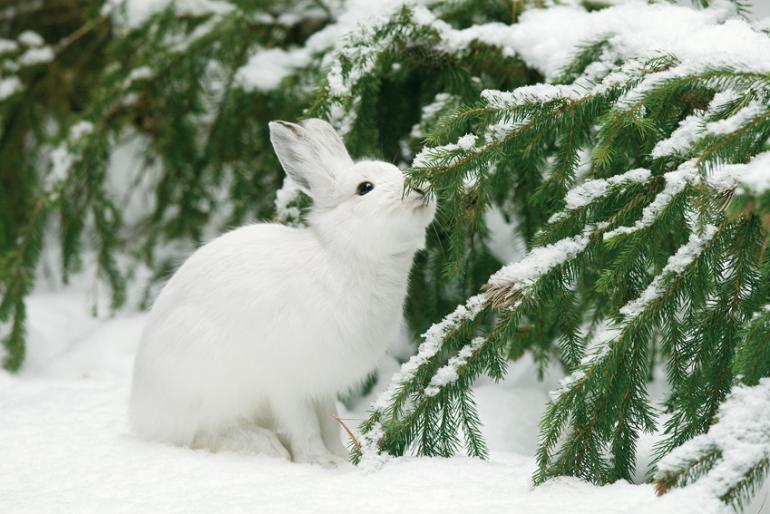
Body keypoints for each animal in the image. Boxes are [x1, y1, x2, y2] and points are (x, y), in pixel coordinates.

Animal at [129, 119, 436, 464]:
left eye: (397, 170)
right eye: (365, 188)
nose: (421, 187)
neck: (346, 257)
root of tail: (143, 411)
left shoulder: (322, 385)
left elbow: (329, 423)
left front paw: (341, 459)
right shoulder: (288, 384)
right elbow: (305, 426)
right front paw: (319, 462)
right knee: (202, 434)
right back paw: (264, 446)